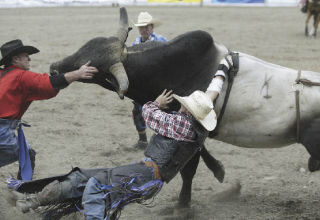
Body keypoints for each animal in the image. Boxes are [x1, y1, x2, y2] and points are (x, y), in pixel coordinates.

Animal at [45, 6, 320, 210]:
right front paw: (220, 171)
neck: (172, 68)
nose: (54, 68)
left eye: (92, 67)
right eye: (83, 48)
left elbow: (188, 169)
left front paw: (182, 204)